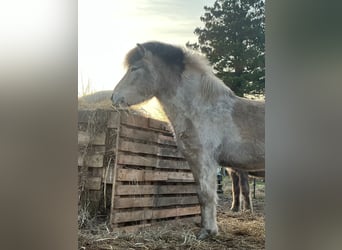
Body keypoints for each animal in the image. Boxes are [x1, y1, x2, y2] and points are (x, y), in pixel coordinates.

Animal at [111, 42, 266, 239]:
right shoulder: (194, 161)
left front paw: (208, 232)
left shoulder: (205, 160)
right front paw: (204, 228)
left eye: (135, 68)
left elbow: (207, 195)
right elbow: (200, 194)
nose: (114, 97)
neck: (202, 109)